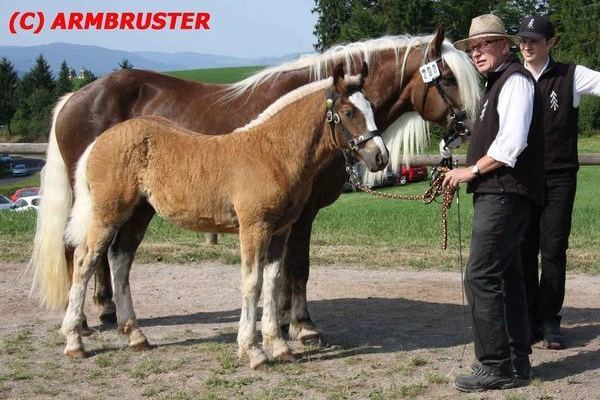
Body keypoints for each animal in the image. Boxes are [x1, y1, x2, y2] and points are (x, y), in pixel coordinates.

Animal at [61, 63, 390, 368]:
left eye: (372, 108)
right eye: (348, 112)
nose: (381, 157)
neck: (272, 152)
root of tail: (99, 142)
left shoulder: (280, 230)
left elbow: (272, 282)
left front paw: (279, 346)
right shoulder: (254, 227)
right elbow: (252, 282)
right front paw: (253, 351)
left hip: (139, 213)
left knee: (120, 259)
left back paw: (135, 336)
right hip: (107, 213)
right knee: (85, 260)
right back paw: (75, 340)